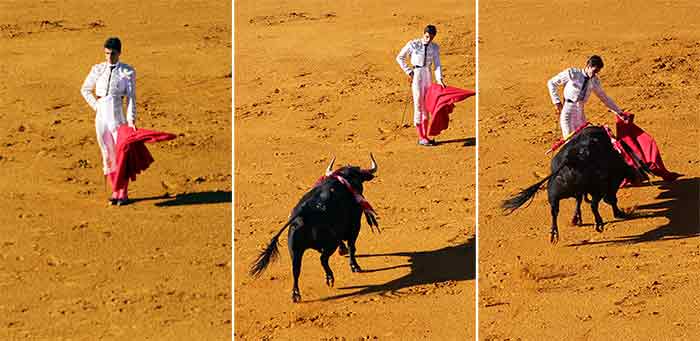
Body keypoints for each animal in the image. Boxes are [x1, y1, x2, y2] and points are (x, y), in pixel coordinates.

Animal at [250, 153, 378, 300]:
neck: (344, 179)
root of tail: (303, 213)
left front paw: (343, 251)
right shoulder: (355, 224)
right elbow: (352, 246)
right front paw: (355, 266)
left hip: (295, 249)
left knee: (296, 269)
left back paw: (296, 294)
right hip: (329, 243)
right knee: (323, 259)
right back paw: (330, 278)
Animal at [500, 126, 644, 243]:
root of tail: (569, 161)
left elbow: (579, 201)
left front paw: (576, 219)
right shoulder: (607, 186)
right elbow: (611, 200)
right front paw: (618, 213)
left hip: (554, 195)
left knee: (555, 211)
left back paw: (554, 233)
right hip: (595, 189)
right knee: (593, 205)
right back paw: (599, 224)